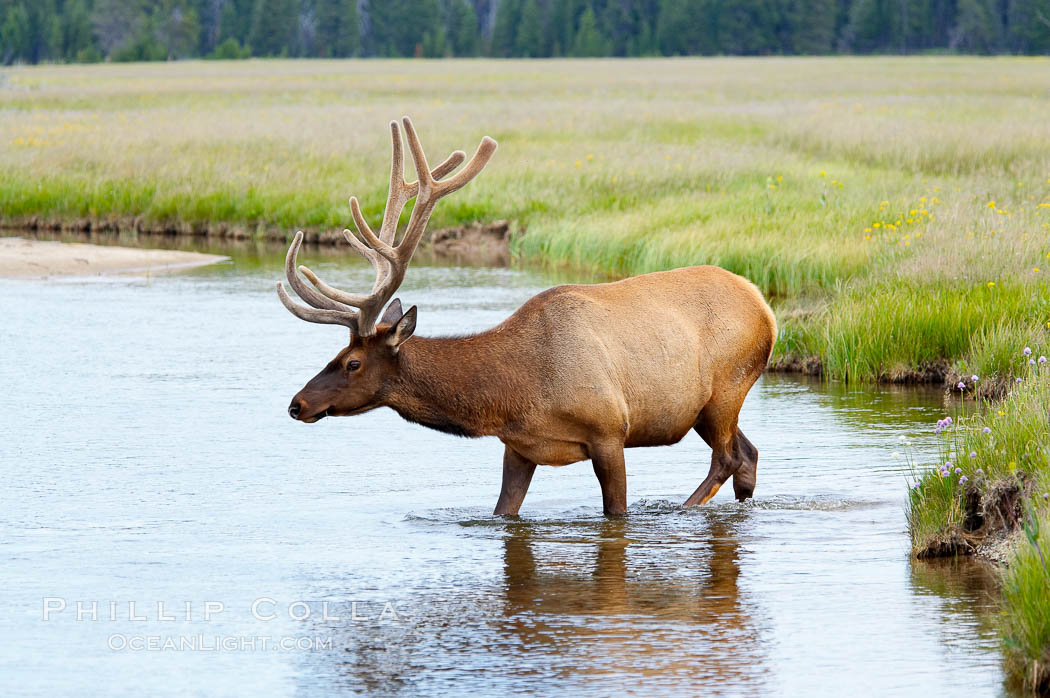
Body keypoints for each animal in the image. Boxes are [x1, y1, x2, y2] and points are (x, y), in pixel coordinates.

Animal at [279, 117, 781, 514]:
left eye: (352, 362)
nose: (296, 404)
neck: (516, 393)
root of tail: (765, 307)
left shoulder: (609, 430)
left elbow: (616, 513)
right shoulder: (518, 448)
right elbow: (503, 511)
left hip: (726, 387)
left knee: (728, 457)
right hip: (705, 407)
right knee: (749, 454)